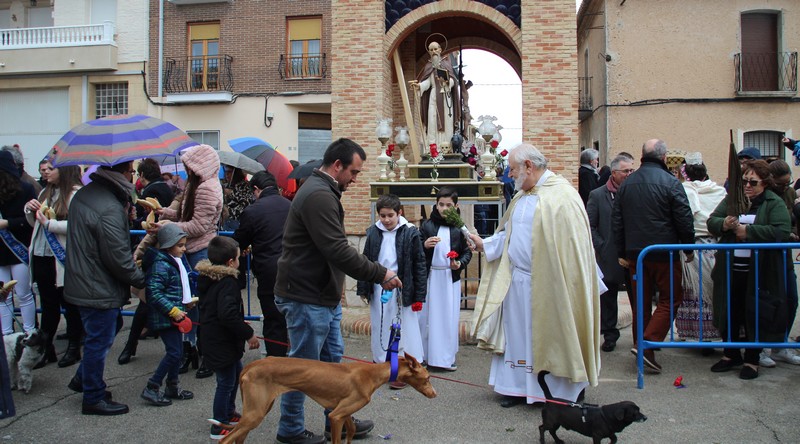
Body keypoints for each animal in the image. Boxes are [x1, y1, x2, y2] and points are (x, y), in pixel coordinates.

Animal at [217, 352, 438, 442]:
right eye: (427, 378)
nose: (434, 394)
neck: (372, 374)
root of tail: (251, 365)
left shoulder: (342, 413)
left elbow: (351, 432)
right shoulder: (336, 416)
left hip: (259, 409)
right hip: (255, 414)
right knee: (226, 440)